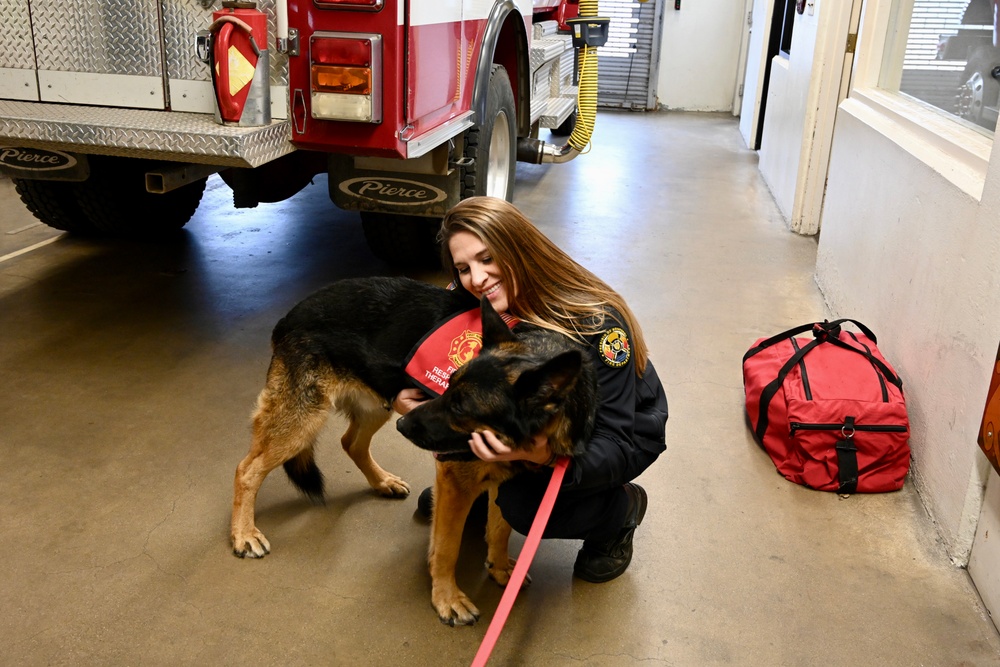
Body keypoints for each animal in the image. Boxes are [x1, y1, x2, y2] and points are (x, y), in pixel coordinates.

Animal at [230, 276, 596, 628]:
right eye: (448, 387)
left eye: (460, 407)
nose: (403, 426)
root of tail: (289, 316)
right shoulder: (454, 483)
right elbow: (447, 547)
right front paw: (447, 599)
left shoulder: (503, 479)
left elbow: (500, 527)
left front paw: (502, 568)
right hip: (303, 422)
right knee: (246, 469)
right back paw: (243, 534)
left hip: (378, 404)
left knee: (351, 442)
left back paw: (383, 482)